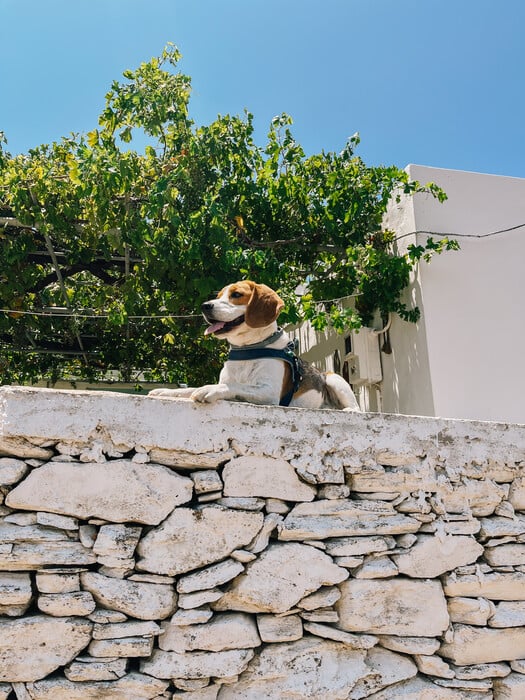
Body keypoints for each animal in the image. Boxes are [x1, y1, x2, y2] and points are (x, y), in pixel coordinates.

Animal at [149, 278, 358, 410]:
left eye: (236, 294)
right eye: (219, 295)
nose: (205, 306)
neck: (247, 348)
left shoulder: (268, 392)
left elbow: (234, 386)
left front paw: (209, 389)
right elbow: (189, 389)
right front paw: (165, 391)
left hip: (334, 378)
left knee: (356, 408)